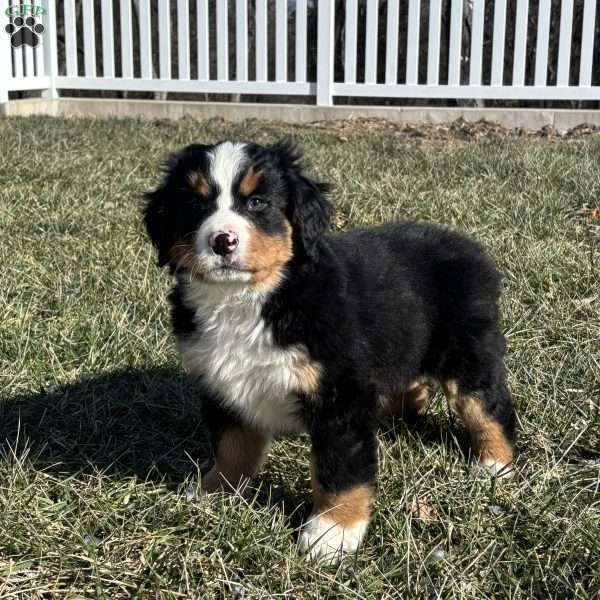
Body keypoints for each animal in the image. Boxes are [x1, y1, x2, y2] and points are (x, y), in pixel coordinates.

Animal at [144, 139, 516, 564]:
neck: (248, 299)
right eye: (195, 204)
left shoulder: (339, 394)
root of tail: (467, 245)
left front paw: (332, 533)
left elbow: (339, 469)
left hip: (466, 350)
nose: (223, 240)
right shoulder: (222, 385)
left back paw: (493, 464)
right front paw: (215, 491)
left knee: (488, 406)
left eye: (257, 202)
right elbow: (232, 445)